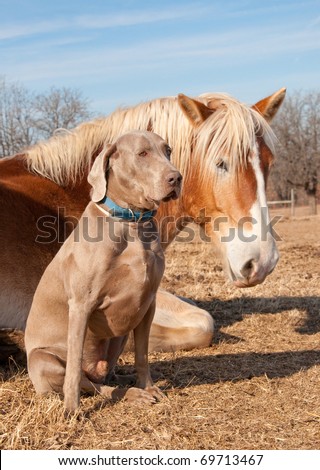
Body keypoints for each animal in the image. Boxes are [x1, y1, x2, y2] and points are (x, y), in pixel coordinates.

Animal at [24, 129, 181, 412]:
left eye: (168, 151)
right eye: (142, 153)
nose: (176, 177)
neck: (131, 223)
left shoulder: (148, 303)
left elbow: (142, 354)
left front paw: (149, 386)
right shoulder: (81, 305)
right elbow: (74, 371)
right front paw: (71, 409)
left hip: (120, 336)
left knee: (105, 376)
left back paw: (129, 381)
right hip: (43, 360)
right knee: (92, 384)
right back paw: (129, 393)